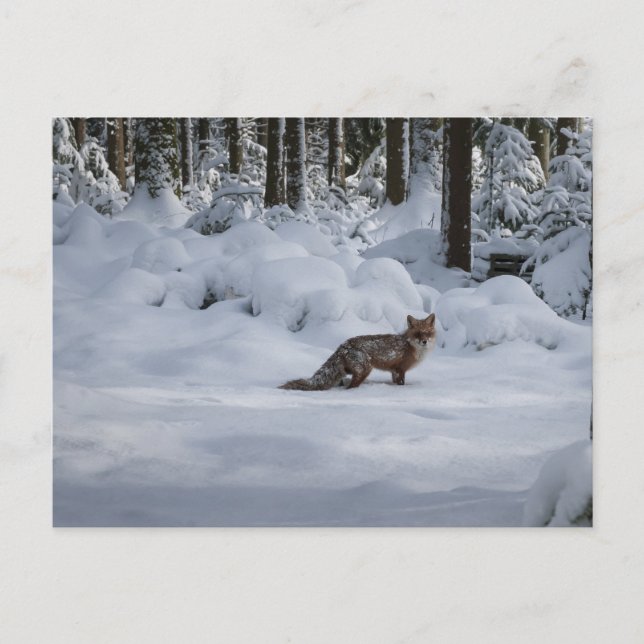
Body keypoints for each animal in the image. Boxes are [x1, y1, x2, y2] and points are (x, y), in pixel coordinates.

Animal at [279, 313, 436, 391]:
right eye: (417, 334)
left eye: (427, 333)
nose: (424, 342)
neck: (410, 346)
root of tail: (343, 345)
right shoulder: (400, 370)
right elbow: (401, 384)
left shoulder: (394, 371)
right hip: (364, 371)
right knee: (350, 387)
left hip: (349, 371)